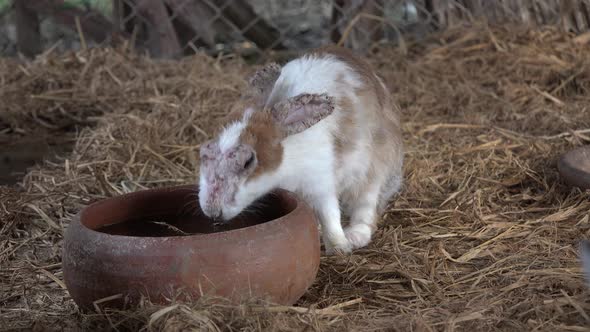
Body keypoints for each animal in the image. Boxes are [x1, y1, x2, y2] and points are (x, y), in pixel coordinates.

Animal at [198, 46, 402, 254]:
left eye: (247, 162)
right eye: (204, 153)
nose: (212, 211)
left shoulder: (320, 183)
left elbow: (330, 215)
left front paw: (339, 248)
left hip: (374, 172)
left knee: (366, 208)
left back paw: (354, 236)